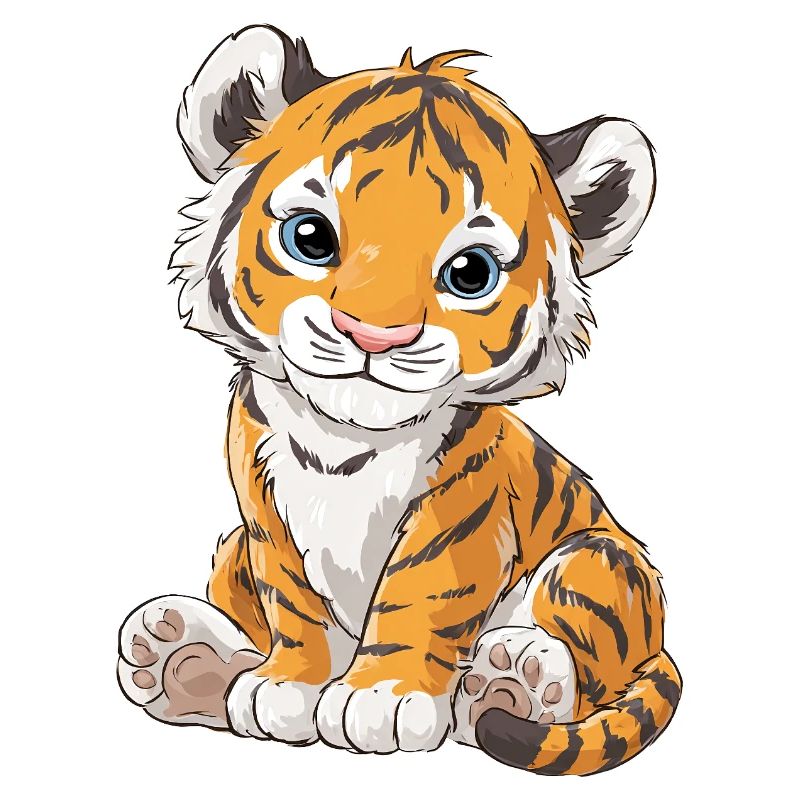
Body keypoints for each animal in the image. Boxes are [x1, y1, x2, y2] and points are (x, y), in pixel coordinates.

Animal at [117, 24, 681, 775]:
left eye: (470, 273)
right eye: (310, 236)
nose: (373, 333)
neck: (344, 442)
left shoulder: (460, 515)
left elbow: (421, 596)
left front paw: (381, 698)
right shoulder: (262, 519)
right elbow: (290, 602)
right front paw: (285, 687)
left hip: (598, 558)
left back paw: (513, 679)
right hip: (232, 548)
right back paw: (179, 656)